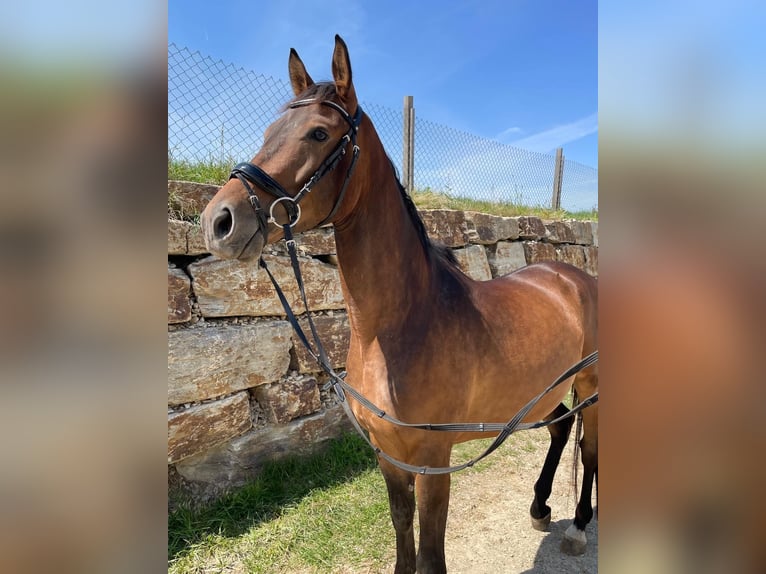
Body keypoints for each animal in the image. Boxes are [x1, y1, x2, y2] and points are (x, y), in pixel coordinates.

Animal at [200, 35, 598, 574]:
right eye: (268, 131)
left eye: (319, 133)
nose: (218, 221)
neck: (396, 330)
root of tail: (573, 276)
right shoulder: (389, 457)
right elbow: (402, 531)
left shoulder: (432, 459)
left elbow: (430, 553)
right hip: (543, 387)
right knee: (560, 429)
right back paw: (539, 507)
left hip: (591, 384)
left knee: (591, 449)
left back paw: (578, 527)